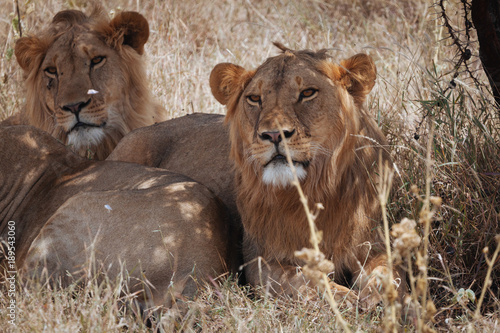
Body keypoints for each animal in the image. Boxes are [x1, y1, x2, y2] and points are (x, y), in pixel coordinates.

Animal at [209, 42, 404, 308]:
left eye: (308, 93)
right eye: (254, 98)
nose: (274, 134)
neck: (315, 190)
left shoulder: (373, 243)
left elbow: (386, 271)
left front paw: (378, 296)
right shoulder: (259, 259)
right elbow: (304, 278)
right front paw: (344, 298)